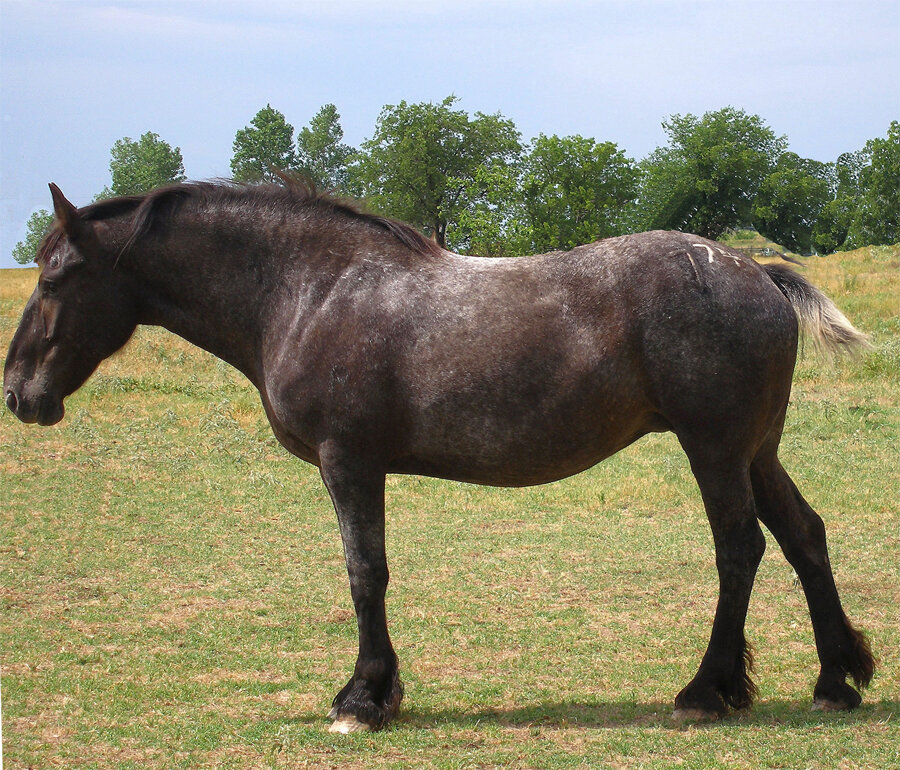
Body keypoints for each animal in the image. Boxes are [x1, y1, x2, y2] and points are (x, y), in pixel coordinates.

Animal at [1, 178, 872, 732]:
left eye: (56, 278)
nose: (17, 392)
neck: (310, 290)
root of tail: (752, 270)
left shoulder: (348, 462)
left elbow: (365, 574)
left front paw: (363, 698)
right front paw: (375, 693)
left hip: (714, 449)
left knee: (740, 548)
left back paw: (707, 690)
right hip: (755, 450)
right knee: (804, 536)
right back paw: (837, 679)